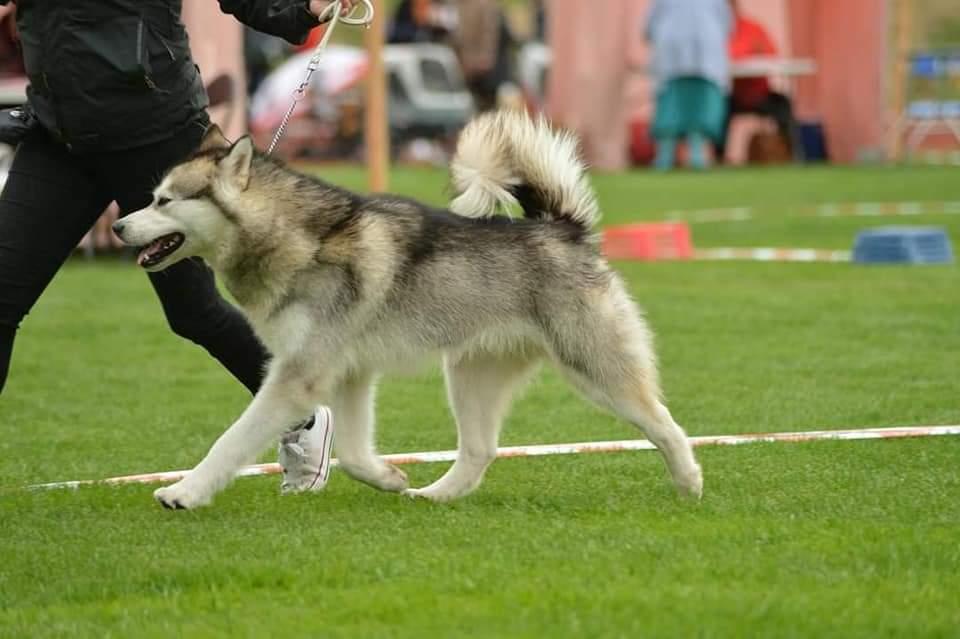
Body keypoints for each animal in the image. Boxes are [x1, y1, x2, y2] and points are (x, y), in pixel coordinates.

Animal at [112, 111, 700, 510]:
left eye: (164, 201)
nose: (117, 226)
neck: (296, 236)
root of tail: (562, 228)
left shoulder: (299, 377)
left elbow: (231, 439)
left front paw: (184, 491)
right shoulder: (347, 372)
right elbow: (352, 453)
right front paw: (390, 478)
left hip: (593, 367)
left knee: (664, 421)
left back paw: (689, 481)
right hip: (469, 375)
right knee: (480, 450)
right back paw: (436, 494)